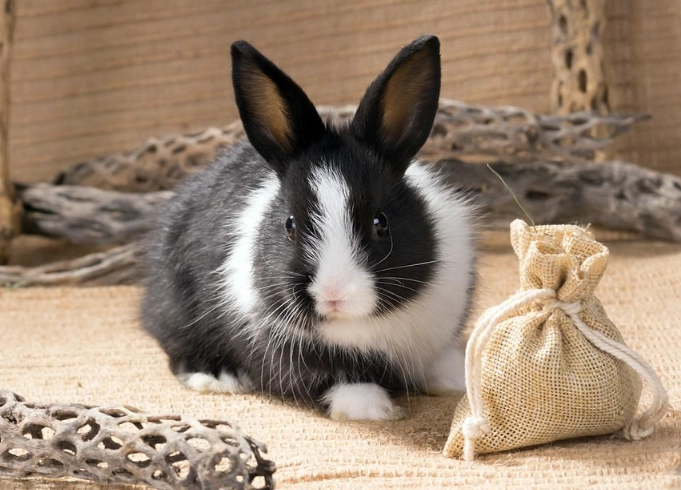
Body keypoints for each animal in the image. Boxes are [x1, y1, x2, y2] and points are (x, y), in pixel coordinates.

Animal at [141, 34, 477, 421]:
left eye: (380, 223)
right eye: (290, 225)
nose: (334, 295)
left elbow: (438, 360)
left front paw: (457, 380)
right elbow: (337, 377)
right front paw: (372, 409)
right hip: (176, 308)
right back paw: (218, 378)